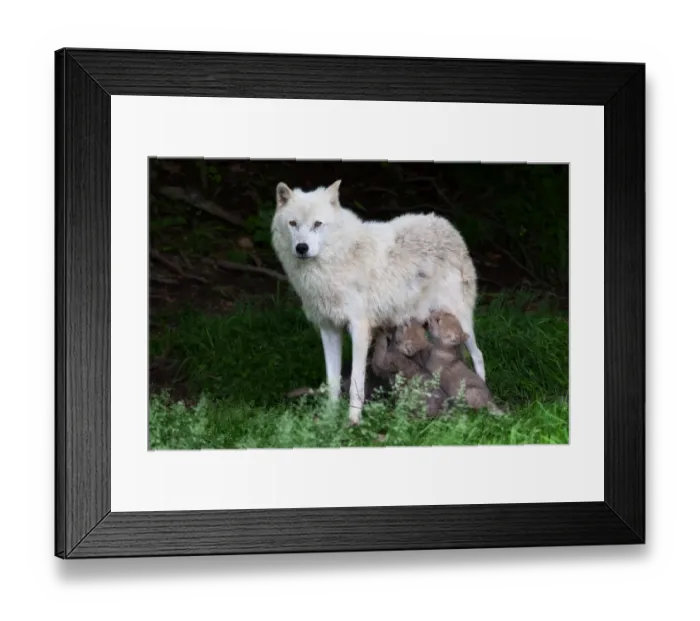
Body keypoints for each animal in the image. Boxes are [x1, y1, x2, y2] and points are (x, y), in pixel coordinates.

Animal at [270, 179, 485, 425]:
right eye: (293, 224)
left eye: (317, 224)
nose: (302, 247)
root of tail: (446, 225)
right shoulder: (328, 329)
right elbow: (332, 382)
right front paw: (329, 418)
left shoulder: (359, 330)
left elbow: (355, 383)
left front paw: (353, 421)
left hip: (460, 320)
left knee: (478, 355)